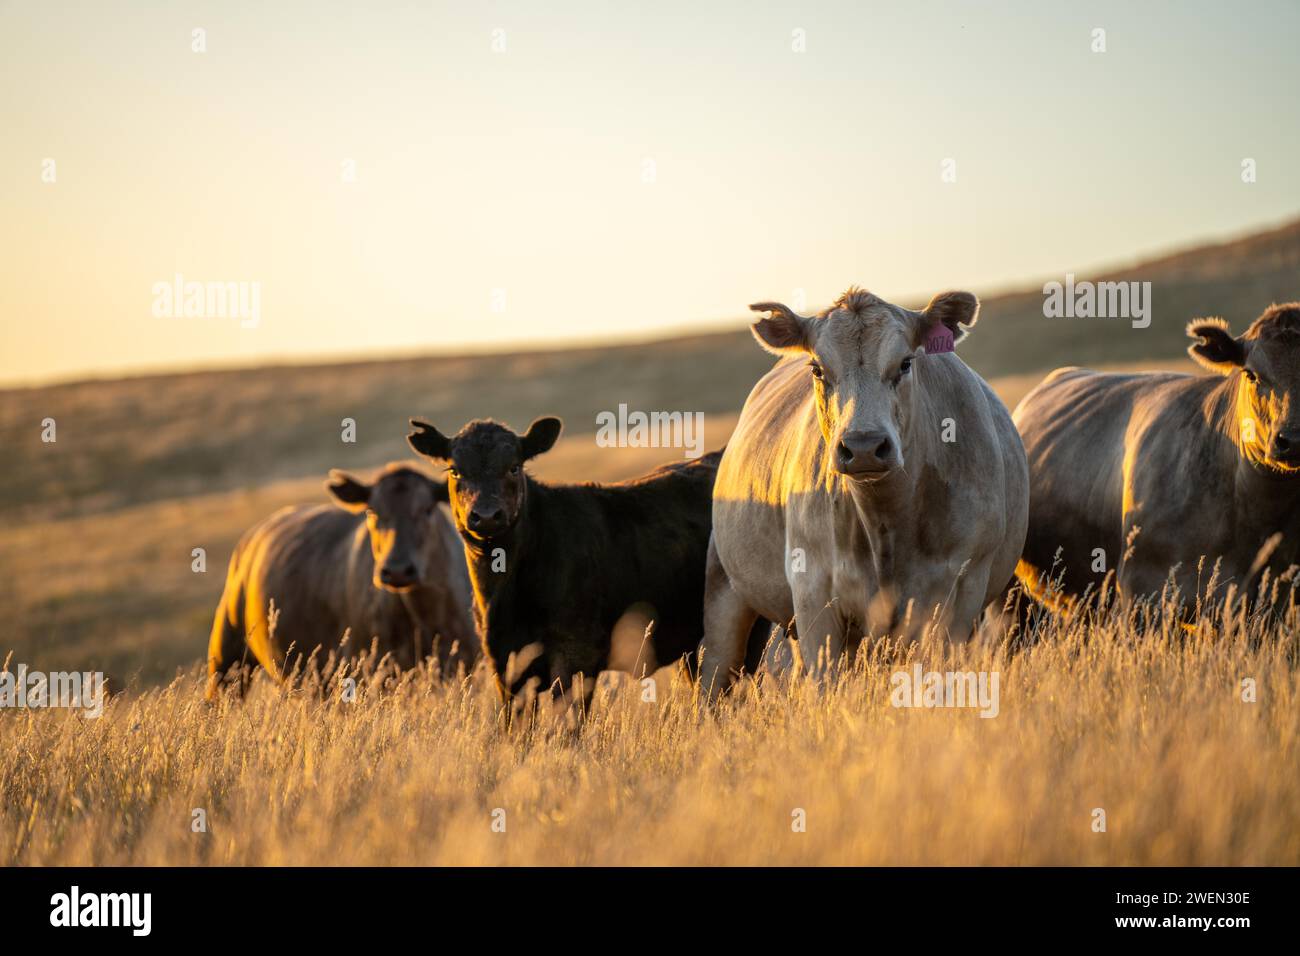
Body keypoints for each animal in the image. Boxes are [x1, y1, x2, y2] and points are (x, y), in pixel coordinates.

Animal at [696, 286, 1029, 697]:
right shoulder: (813, 595)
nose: (864, 446)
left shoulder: (961, 592)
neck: (885, 520)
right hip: (724, 595)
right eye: (817, 369)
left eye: (905, 363)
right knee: (715, 677)